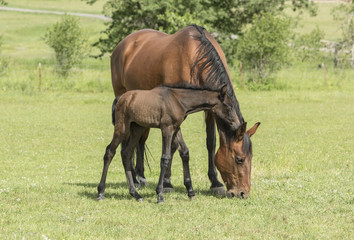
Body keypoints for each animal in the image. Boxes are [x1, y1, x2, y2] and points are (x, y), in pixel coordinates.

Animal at [97, 84, 238, 202]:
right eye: (228, 106)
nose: (236, 125)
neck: (178, 100)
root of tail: (120, 98)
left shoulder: (176, 128)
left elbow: (185, 152)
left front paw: (190, 191)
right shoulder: (167, 128)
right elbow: (165, 158)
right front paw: (160, 194)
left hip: (137, 128)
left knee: (126, 153)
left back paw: (135, 194)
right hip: (122, 128)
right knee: (110, 151)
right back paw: (100, 192)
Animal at [109, 23, 258, 197]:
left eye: (251, 157)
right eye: (239, 159)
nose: (243, 193)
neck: (194, 56)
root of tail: (123, 44)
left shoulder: (210, 110)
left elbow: (211, 142)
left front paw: (215, 182)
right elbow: (173, 147)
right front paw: (167, 183)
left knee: (140, 140)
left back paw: (141, 177)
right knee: (127, 140)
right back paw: (135, 178)